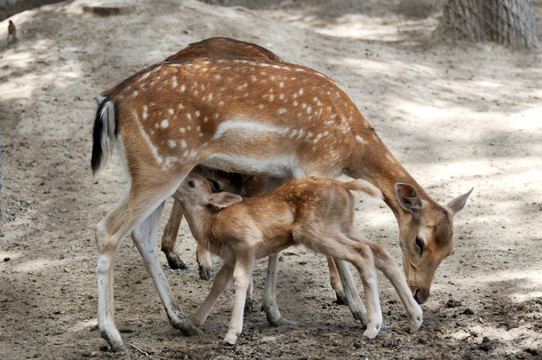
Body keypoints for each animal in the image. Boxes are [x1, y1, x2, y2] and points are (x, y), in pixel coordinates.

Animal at [175, 176, 424, 344]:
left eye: (192, 183)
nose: (174, 183)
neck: (211, 224)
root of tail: (345, 187)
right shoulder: (230, 257)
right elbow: (219, 282)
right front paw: (194, 320)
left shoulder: (247, 242)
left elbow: (240, 280)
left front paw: (231, 334)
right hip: (344, 226)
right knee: (380, 251)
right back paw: (415, 318)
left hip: (316, 231)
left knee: (362, 253)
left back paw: (373, 326)